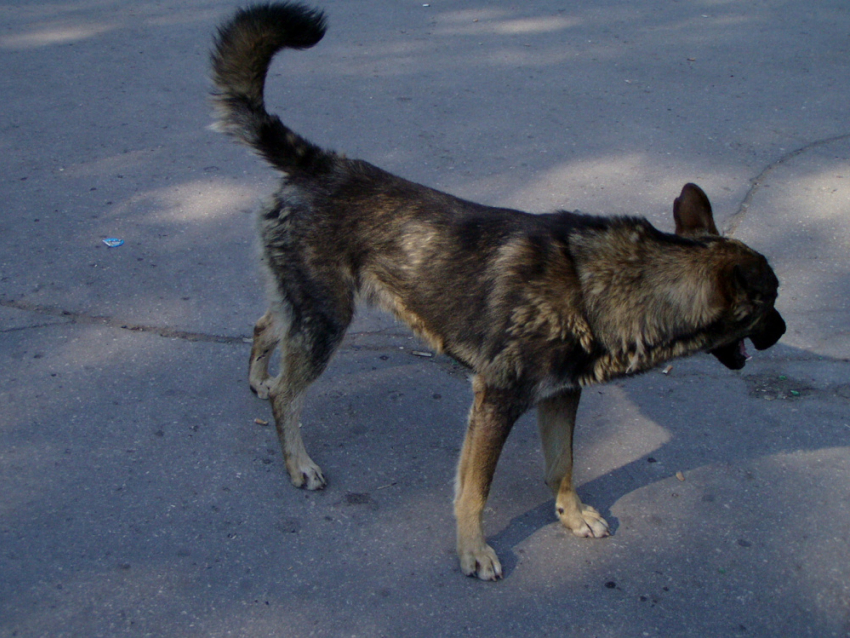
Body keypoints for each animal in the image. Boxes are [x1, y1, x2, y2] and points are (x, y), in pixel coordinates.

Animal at [210, 2, 780, 584]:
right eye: (772, 302)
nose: (781, 332)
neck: (601, 285)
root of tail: (319, 162)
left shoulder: (560, 397)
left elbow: (563, 467)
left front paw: (571, 515)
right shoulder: (495, 403)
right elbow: (475, 491)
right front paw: (472, 549)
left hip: (311, 305)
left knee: (266, 327)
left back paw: (259, 379)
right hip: (327, 320)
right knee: (287, 394)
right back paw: (297, 460)